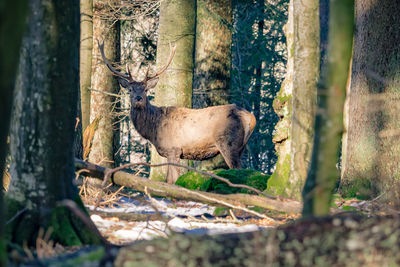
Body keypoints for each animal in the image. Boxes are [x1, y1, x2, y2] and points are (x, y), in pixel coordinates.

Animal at [99, 41, 258, 184]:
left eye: (145, 89)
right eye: (130, 90)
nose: (138, 98)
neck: (153, 129)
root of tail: (251, 117)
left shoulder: (173, 150)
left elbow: (173, 180)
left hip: (229, 143)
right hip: (241, 147)